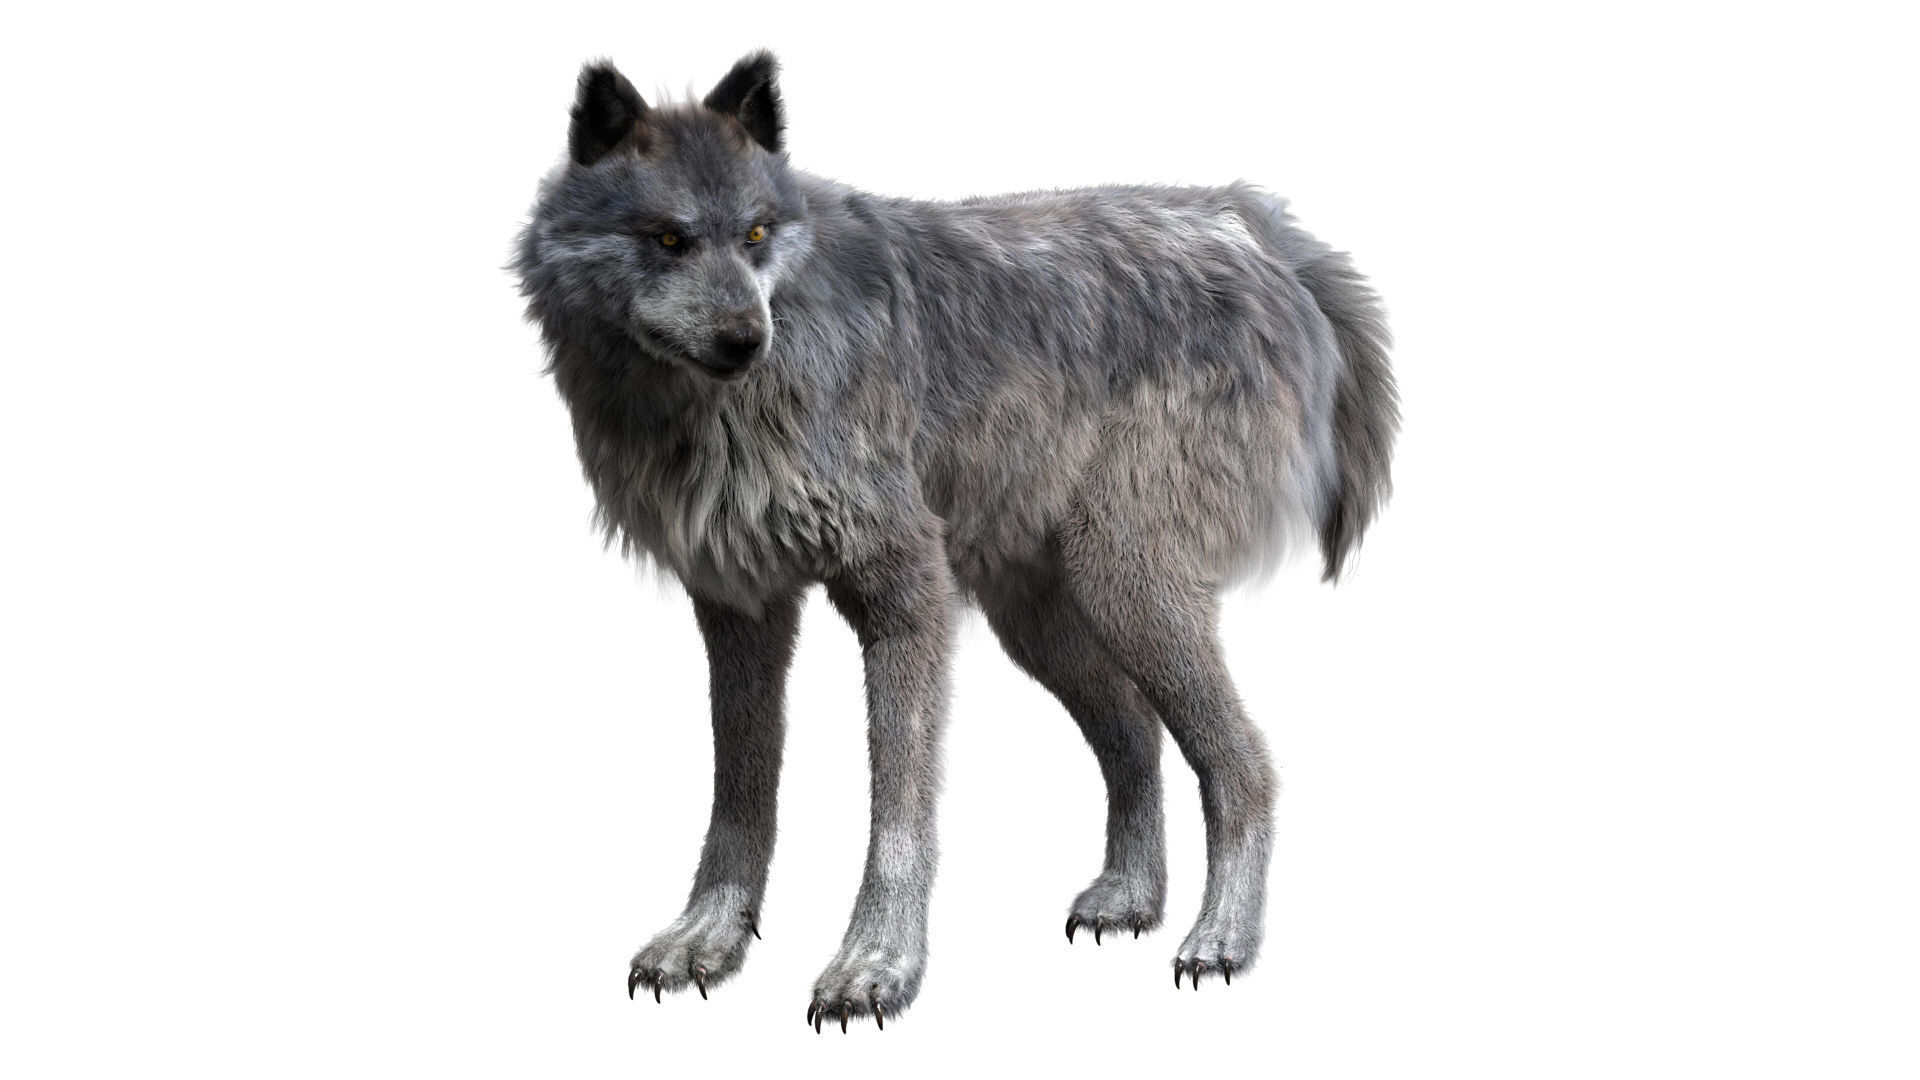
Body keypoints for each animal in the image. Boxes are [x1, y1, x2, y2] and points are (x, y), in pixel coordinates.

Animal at [514, 51, 1397, 1031]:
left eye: (755, 234)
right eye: (668, 239)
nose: (748, 339)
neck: (720, 411)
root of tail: (1256, 225)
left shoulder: (905, 592)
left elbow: (898, 812)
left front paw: (875, 966)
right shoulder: (740, 607)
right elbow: (739, 794)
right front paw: (706, 937)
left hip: (1123, 586)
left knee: (1244, 766)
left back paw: (1221, 942)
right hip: (1045, 619)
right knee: (1136, 736)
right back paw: (1131, 898)